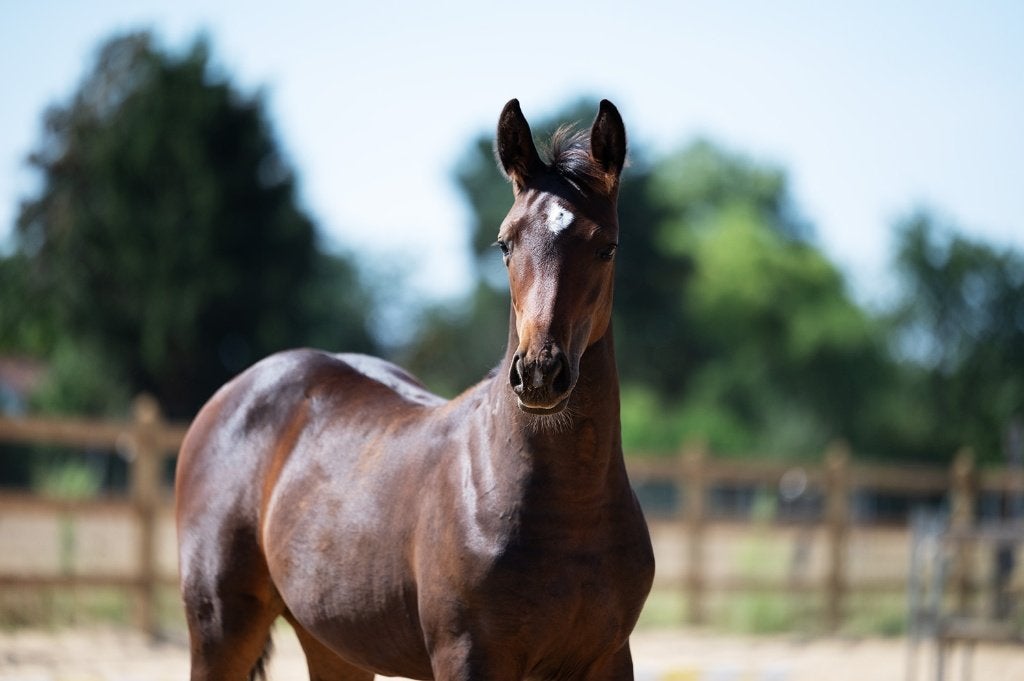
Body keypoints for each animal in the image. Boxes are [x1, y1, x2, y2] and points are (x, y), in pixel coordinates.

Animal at [175, 98, 655, 681]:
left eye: (607, 248)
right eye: (505, 243)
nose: (540, 372)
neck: (568, 511)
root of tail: (233, 395)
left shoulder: (611, 657)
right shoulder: (467, 657)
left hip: (333, 644)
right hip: (219, 629)